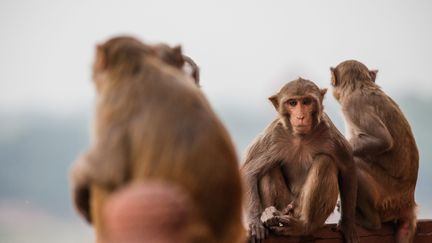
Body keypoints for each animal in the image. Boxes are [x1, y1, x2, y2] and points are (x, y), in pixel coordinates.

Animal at [241, 78, 360, 243]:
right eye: (292, 103)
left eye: (306, 102)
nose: (301, 116)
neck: (300, 138)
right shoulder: (273, 135)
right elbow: (249, 171)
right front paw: (255, 222)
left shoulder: (329, 132)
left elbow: (347, 168)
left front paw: (347, 224)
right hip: (286, 204)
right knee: (268, 167)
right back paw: (270, 216)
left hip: (299, 207)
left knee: (325, 161)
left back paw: (304, 226)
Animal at [330, 59, 418, 243]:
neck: (359, 85)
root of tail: (408, 203)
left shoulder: (352, 105)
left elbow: (383, 140)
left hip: (387, 201)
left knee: (354, 163)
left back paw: (369, 221)